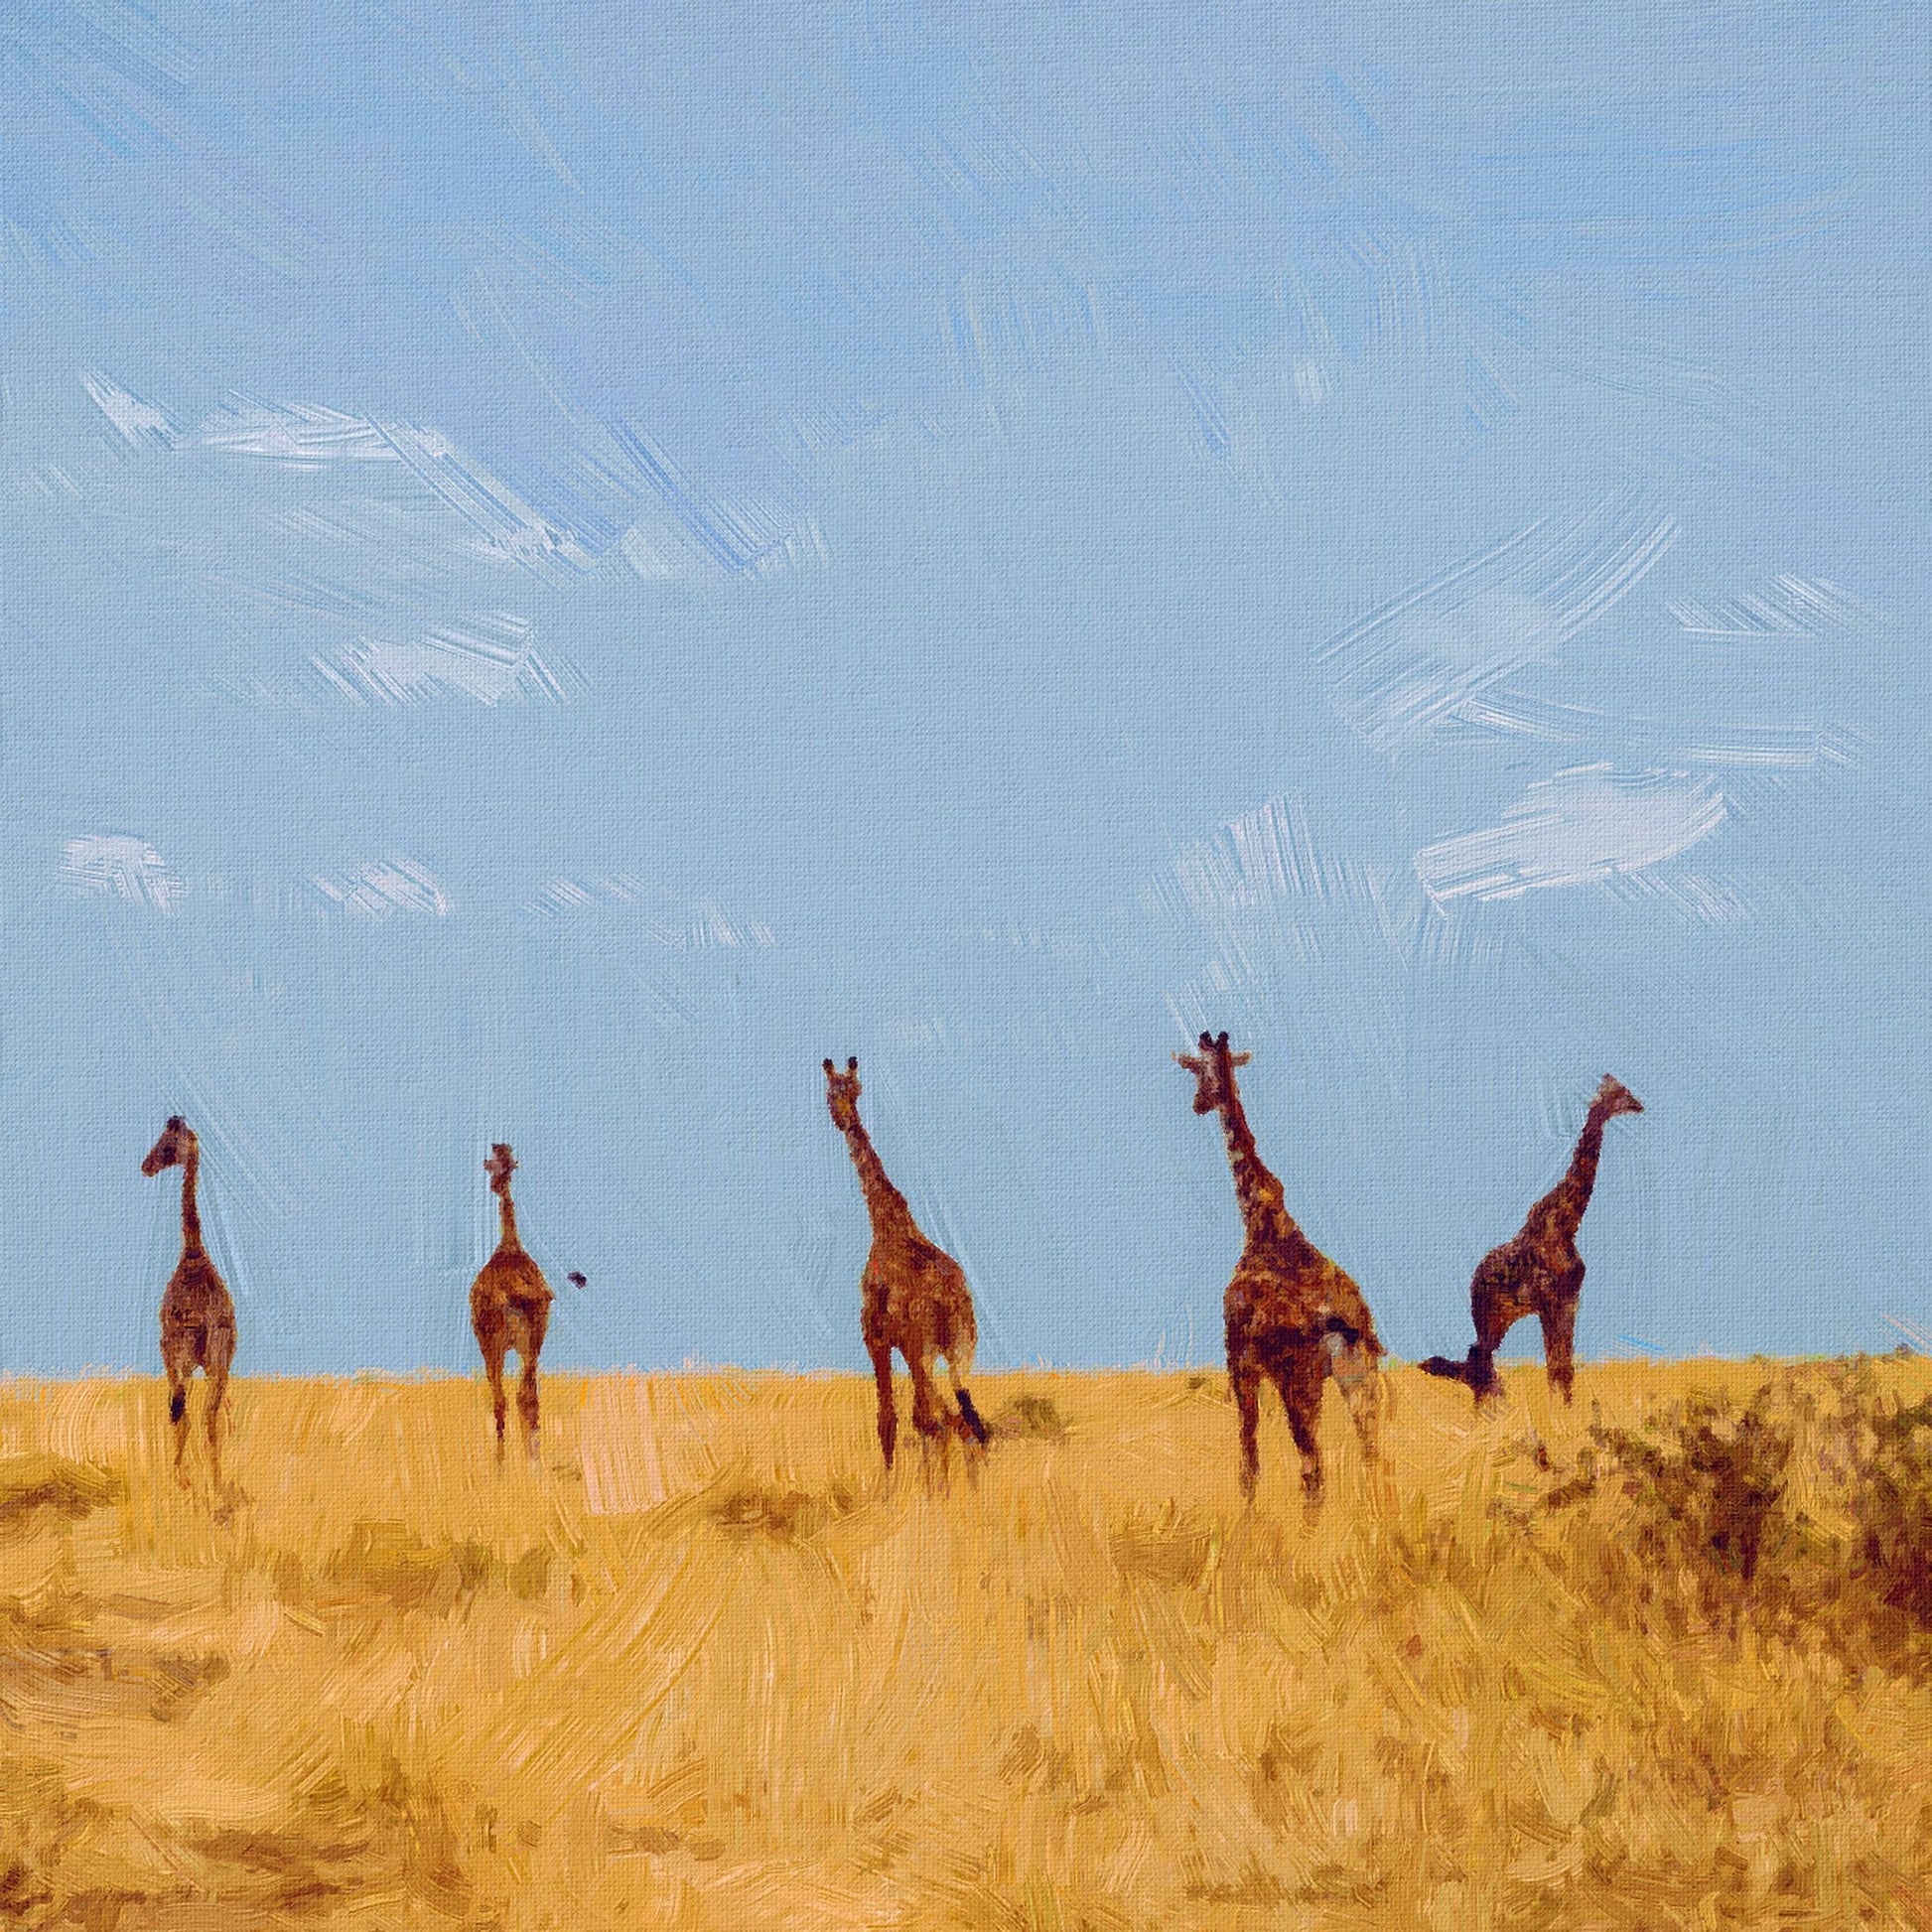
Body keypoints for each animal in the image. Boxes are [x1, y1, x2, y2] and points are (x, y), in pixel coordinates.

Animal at [142, 1115, 238, 1487]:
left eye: (168, 1144)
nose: (146, 1166)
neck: (194, 1256)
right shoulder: (184, 1355)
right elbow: (184, 1413)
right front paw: (185, 1477)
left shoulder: (178, 1352)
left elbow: (187, 1413)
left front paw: (189, 1477)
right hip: (205, 1360)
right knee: (200, 1412)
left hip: (204, 1359)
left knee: (203, 1414)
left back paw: (212, 1478)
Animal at [469, 1143, 585, 1463]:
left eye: (497, 1163)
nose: (493, 1184)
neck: (509, 1244)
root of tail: (513, 1293)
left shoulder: (490, 1342)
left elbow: (502, 1398)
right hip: (533, 1340)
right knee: (528, 1396)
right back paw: (532, 1462)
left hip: (496, 1344)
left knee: (504, 1397)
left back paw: (505, 1463)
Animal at [823, 1057, 989, 1480]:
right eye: (833, 1093)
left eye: (854, 1090)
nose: (844, 1119)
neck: (887, 1224)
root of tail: (952, 1299)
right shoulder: (899, 1344)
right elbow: (902, 1421)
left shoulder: (877, 1337)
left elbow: (890, 1421)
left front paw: (888, 1490)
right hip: (958, 1350)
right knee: (967, 1423)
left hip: (923, 1350)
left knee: (940, 1421)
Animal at [1176, 1032, 1386, 1505]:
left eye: (1198, 1071)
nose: (1197, 1104)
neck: (1262, 1223)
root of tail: (1343, 1322)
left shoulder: (1239, 1362)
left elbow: (1248, 1460)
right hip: (1358, 1378)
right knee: (1373, 1455)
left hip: (1301, 1383)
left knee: (1313, 1468)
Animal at [1420, 1075, 1645, 1405]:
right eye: (1621, 1094)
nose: (1640, 1106)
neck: (1566, 1224)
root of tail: (1475, 1280)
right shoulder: (1550, 1301)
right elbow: (1556, 1365)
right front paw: (1558, 1412)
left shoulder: (1569, 1300)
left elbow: (1563, 1365)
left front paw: (1565, 1410)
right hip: (1492, 1314)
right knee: (1478, 1357)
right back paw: (1489, 1407)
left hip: (1501, 1316)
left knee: (1479, 1356)